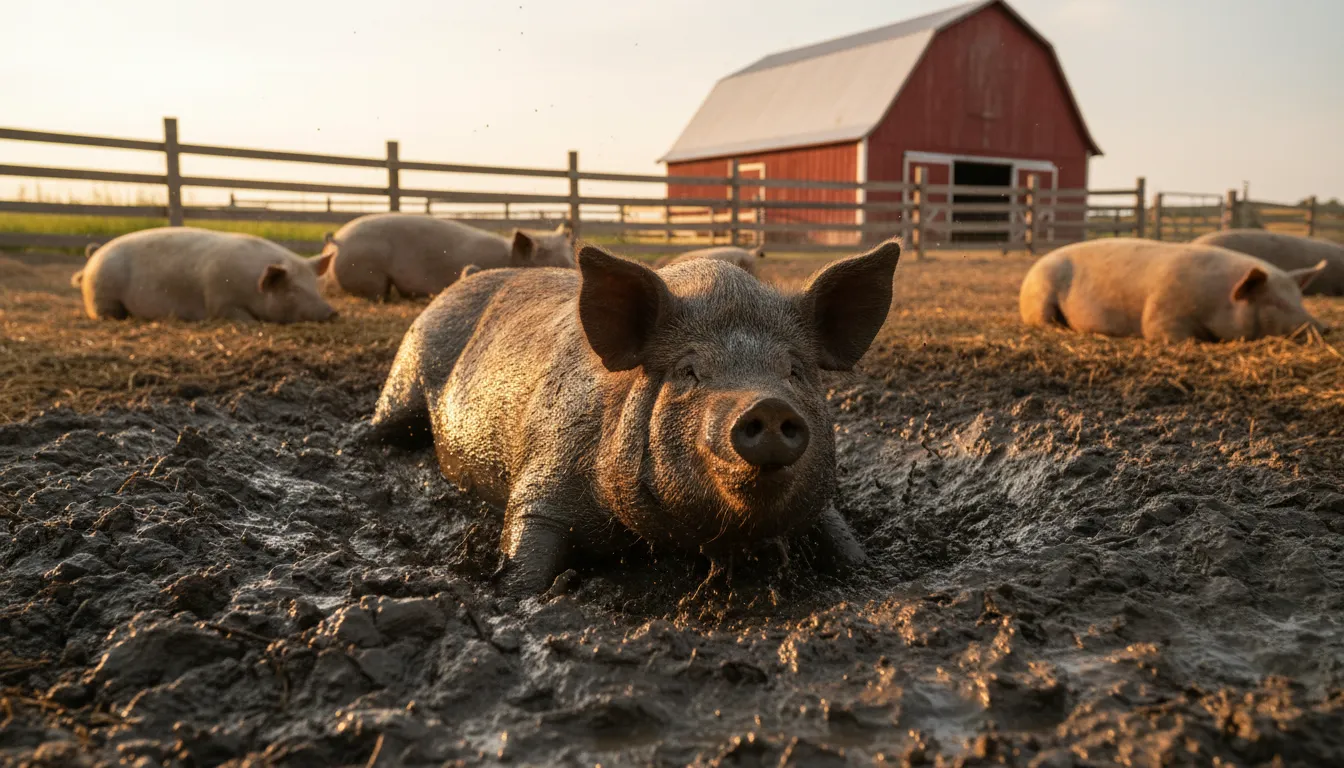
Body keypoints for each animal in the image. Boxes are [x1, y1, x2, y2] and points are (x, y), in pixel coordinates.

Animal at [78, 227, 337, 323]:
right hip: (102, 294)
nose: (332, 312)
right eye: (292, 290)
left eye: (315, 286)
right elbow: (242, 318)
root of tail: (95, 255)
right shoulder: (220, 301)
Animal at [368, 238, 903, 596]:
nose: (766, 406)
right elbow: (528, 547)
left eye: (794, 372)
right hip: (408, 368)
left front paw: (866, 572)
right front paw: (515, 592)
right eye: (689, 371)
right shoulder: (544, 475)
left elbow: (845, 545)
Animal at [1019, 238, 1328, 342]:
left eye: (1300, 300)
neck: (1218, 300)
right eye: (1275, 302)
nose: (1325, 327)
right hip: (1041, 296)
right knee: (1044, 321)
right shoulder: (1162, 313)